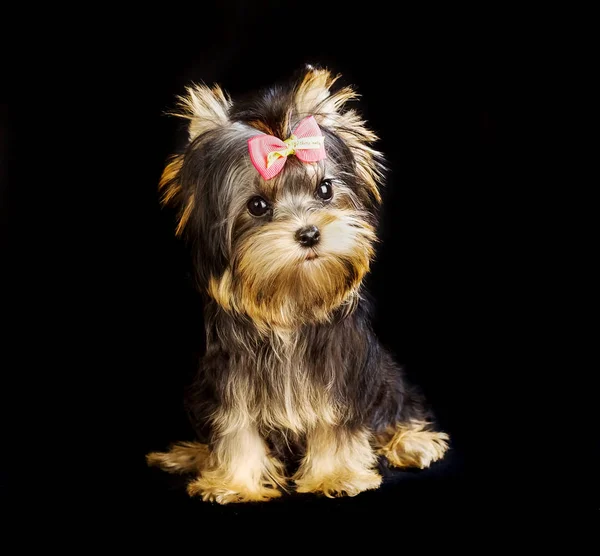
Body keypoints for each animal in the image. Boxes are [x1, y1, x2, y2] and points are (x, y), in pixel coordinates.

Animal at [145, 66, 448, 504]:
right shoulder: (230, 379)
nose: (309, 234)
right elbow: (237, 428)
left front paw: (335, 475)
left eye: (325, 189)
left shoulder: (342, 373)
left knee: (394, 406)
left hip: (384, 377)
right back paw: (188, 455)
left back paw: (412, 442)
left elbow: (336, 424)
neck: (290, 303)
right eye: (257, 206)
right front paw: (235, 481)